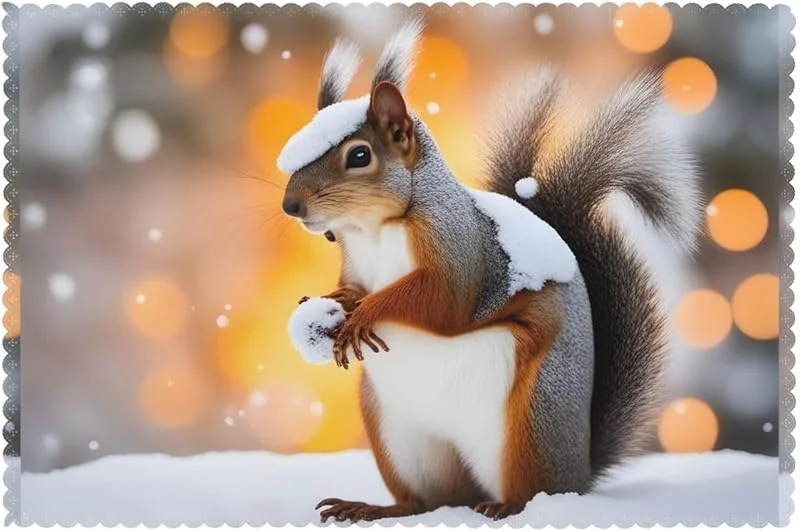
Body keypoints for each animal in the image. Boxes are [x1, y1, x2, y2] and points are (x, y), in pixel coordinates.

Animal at [277, 18, 701, 523]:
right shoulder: (356, 262)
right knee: (423, 500)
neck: (377, 227)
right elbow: (352, 287)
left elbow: (443, 299)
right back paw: (371, 507)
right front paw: (327, 307)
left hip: (532, 420)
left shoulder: (459, 249)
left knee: (530, 490)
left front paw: (366, 314)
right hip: (402, 440)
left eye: (359, 156)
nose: (290, 205)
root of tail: (579, 472)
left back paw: (507, 506)